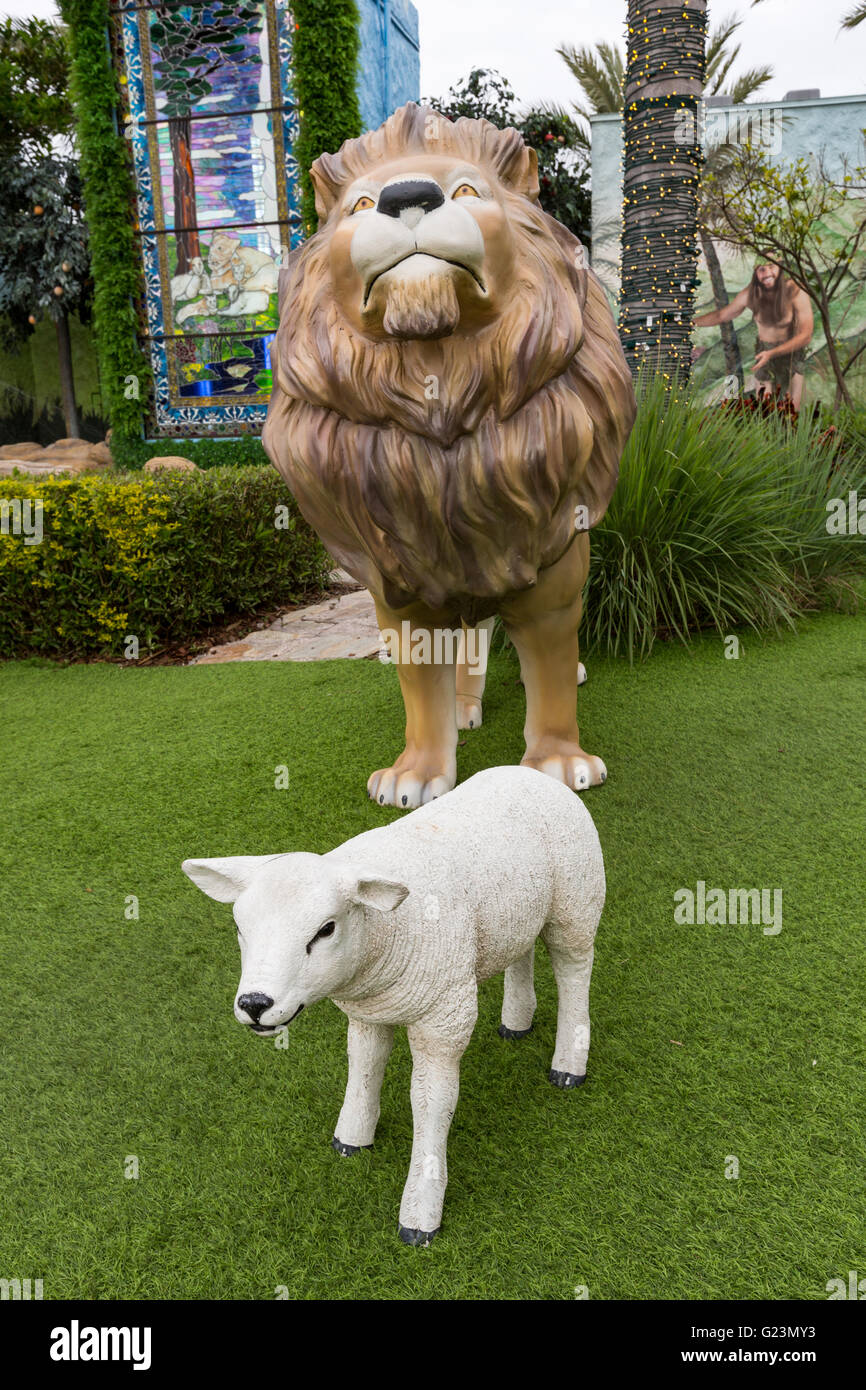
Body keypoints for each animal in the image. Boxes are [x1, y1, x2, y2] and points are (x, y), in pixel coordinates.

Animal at [180, 767, 603, 1245]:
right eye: (239, 926)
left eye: (326, 929)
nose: (254, 1003)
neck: (384, 932)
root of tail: (532, 773)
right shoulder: (369, 1011)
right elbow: (364, 1067)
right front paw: (352, 1137)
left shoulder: (443, 1020)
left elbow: (431, 1104)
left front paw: (421, 1210)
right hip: (516, 911)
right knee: (521, 951)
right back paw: (516, 1022)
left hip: (576, 904)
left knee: (574, 972)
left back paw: (569, 1064)